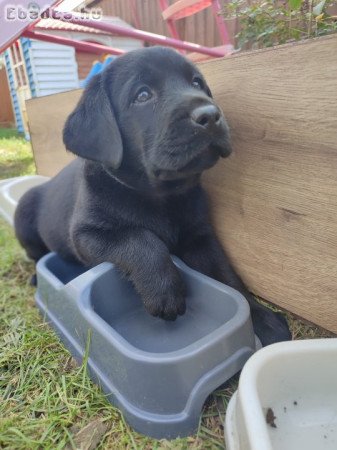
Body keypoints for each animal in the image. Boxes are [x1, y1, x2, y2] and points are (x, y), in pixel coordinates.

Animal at [14, 46, 290, 344]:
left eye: (196, 83)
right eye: (143, 95)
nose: (211, 115)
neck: (160, 195)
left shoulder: (200, 238)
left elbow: (228, 276)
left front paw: (263, 319)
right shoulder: (86, 234)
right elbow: (140, 239)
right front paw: (164, 291)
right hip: (24, 216)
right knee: (34, 254)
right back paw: (34, 277)